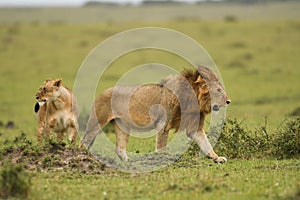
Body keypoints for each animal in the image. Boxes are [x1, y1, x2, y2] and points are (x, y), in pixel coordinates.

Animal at [81, 66, 231, 163]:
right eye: (218, 90)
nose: (229, 101)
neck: (192, 100)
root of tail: (102, 92)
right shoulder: (162, 123)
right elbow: (162, 145)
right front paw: (163, 160)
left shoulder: (195, 127)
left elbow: (206, 144)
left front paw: (217, 158)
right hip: (97, 121)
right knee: (84, 141)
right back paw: (83, 156)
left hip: (122, 126)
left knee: (120, 148)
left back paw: (129, 162)